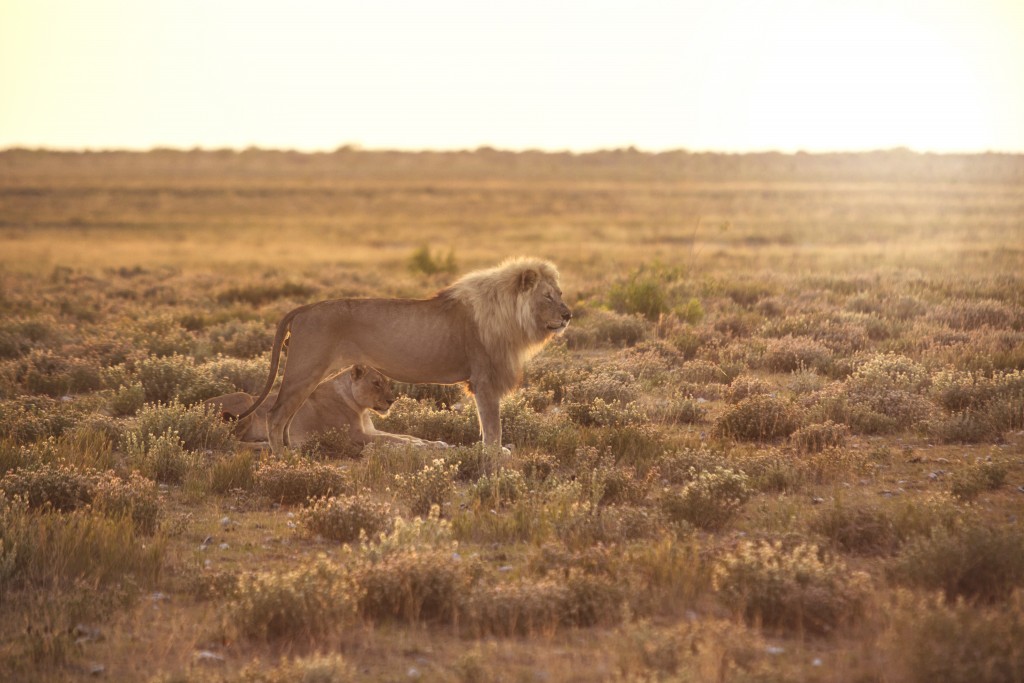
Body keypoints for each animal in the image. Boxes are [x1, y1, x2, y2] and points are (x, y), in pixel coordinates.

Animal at [205, 366, 446, 450]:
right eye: (376, 383)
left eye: (388, 383)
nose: (391, 401)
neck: (360, 407)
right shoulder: (355, 436)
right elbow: (393, 439)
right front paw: (422, 445)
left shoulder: (370, 430)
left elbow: (403, 435)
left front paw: (435, 442)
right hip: (245, 400)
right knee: (230, 441)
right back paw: (268, 443)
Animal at [234, 255, 577, 454]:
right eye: (547, 297)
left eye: (560, 294)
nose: (568, 315)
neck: (513, 318)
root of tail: (305, 308)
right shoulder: (485, 379)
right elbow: (493, 426)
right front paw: (494, 456)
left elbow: (485, 424)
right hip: (304, 370)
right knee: (275, 415)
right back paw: (283, 459)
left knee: (286, 416)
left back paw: (292, 451)